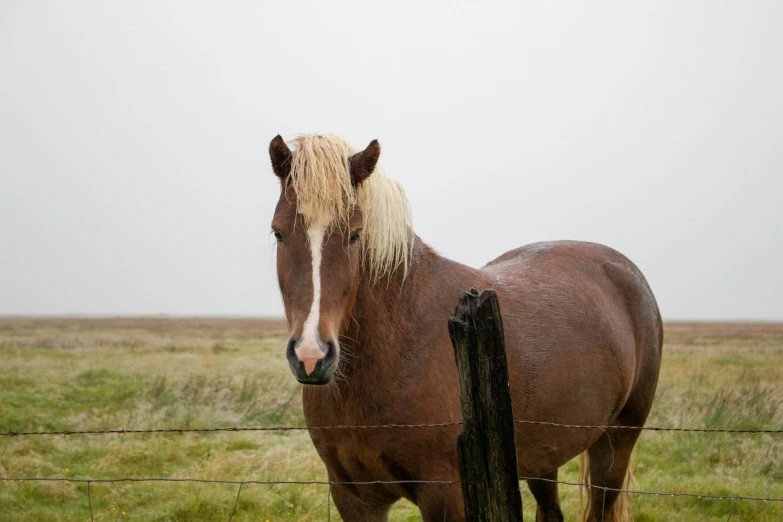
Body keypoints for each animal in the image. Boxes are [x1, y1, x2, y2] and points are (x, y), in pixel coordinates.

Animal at [268, 132, 660, 516]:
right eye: (278, 233)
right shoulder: (353, 496)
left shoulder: (445, 494)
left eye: (355, 234)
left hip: (616, 442)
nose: (311, 356)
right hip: (544, 455)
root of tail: (624, 269)